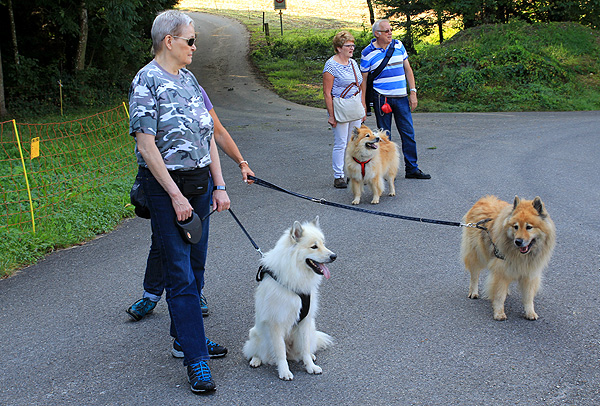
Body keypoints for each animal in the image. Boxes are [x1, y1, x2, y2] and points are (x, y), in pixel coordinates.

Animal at [244, 217, 338, 380]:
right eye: (314, 247)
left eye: (323, 243)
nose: (333, 256)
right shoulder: (275, 323)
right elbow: (280, 352)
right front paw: (284, 372)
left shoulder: (305, 322)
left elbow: (305, 349)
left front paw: (310, 367)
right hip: (255, 333)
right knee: (256, 351)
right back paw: (256, 360)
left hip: (310, 329)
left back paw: (311, 356)